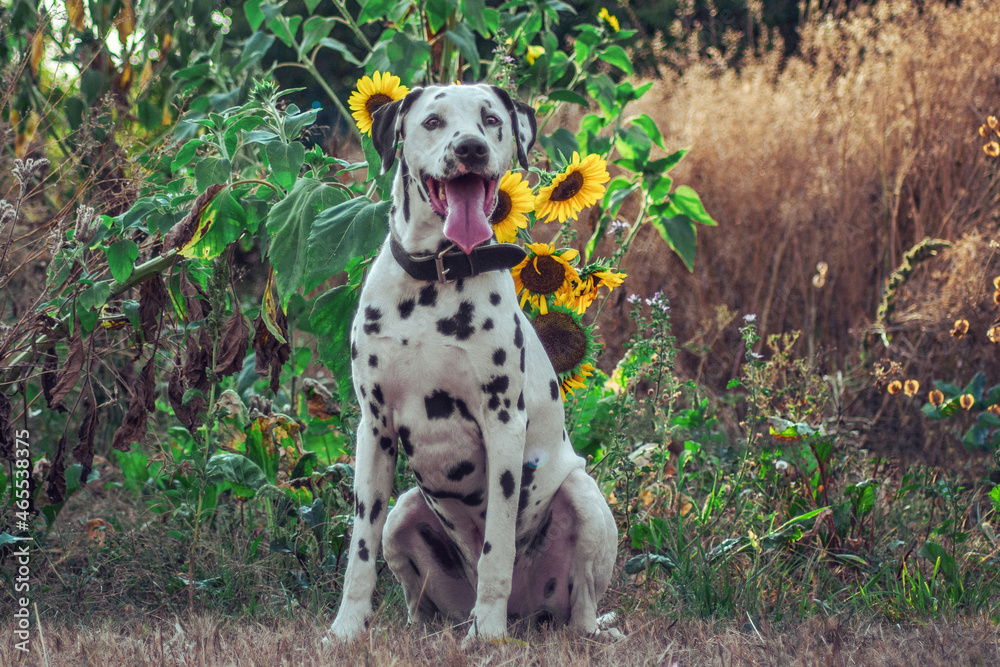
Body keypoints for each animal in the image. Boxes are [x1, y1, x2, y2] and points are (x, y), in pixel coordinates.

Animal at [328, 83, 616, 648]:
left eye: (491, 119)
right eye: (433, 121)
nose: (471, 148)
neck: (436, 281)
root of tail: (529, 613)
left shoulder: (503, 425)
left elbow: (496, 548)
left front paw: (486, 635)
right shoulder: (374, 431)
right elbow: (359, 553)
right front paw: (346, 629)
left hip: (583, 498)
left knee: (583, 607)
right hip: (403, 514)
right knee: (414, 598)